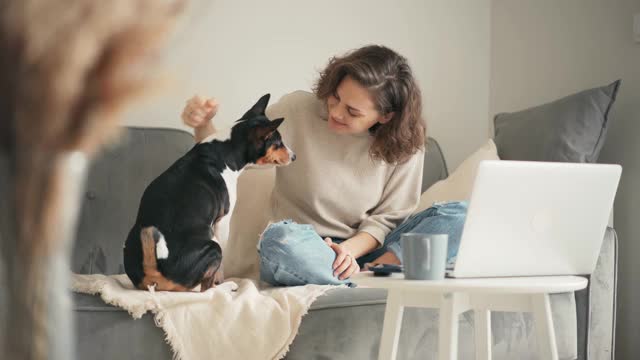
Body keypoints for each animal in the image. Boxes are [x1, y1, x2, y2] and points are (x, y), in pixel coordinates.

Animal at [122, 94, 296, 292]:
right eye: (278, 143)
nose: (294, 156)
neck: (228, 150)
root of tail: (156, 271)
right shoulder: (222, 221)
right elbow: (220, 266)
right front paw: (222, 280)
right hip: (213, 247)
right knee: (205, 289)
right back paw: (226, 286)